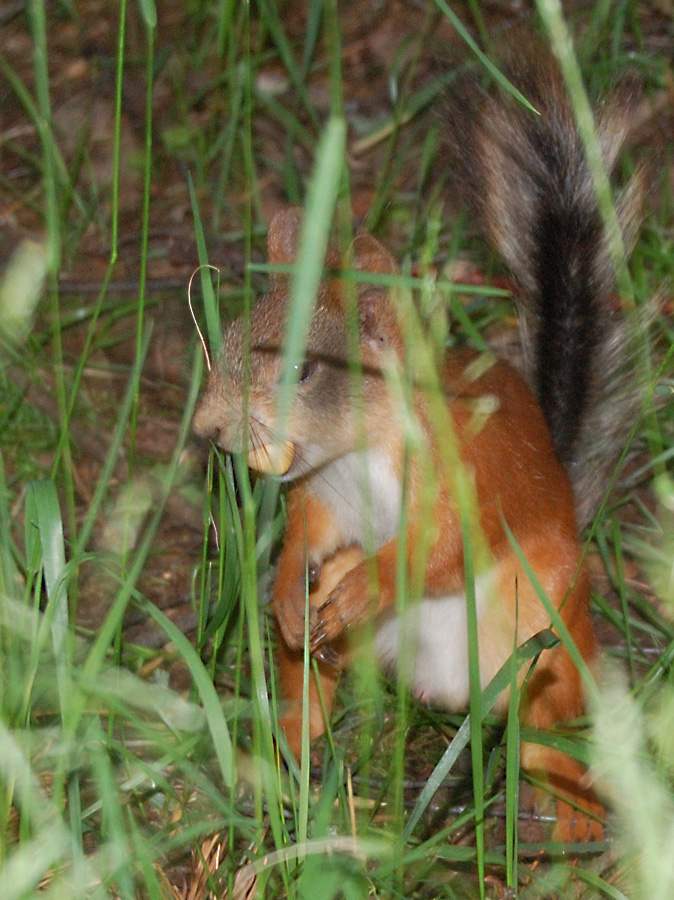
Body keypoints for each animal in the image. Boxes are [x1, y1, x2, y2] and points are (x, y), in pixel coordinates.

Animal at [193, 59, 640, 840]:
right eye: (227, 342)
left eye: (302, 370)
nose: (206, 430)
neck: (357, 452)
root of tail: (447, 691)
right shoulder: (320, 499)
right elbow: (306, 536)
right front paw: (286, 590)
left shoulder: (464, 477)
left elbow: (444, 548)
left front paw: (372, 582)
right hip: (355, 653)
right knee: (313, 677)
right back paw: (287, 743)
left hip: (546, 634)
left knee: (555, 733)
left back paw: (575, 818)